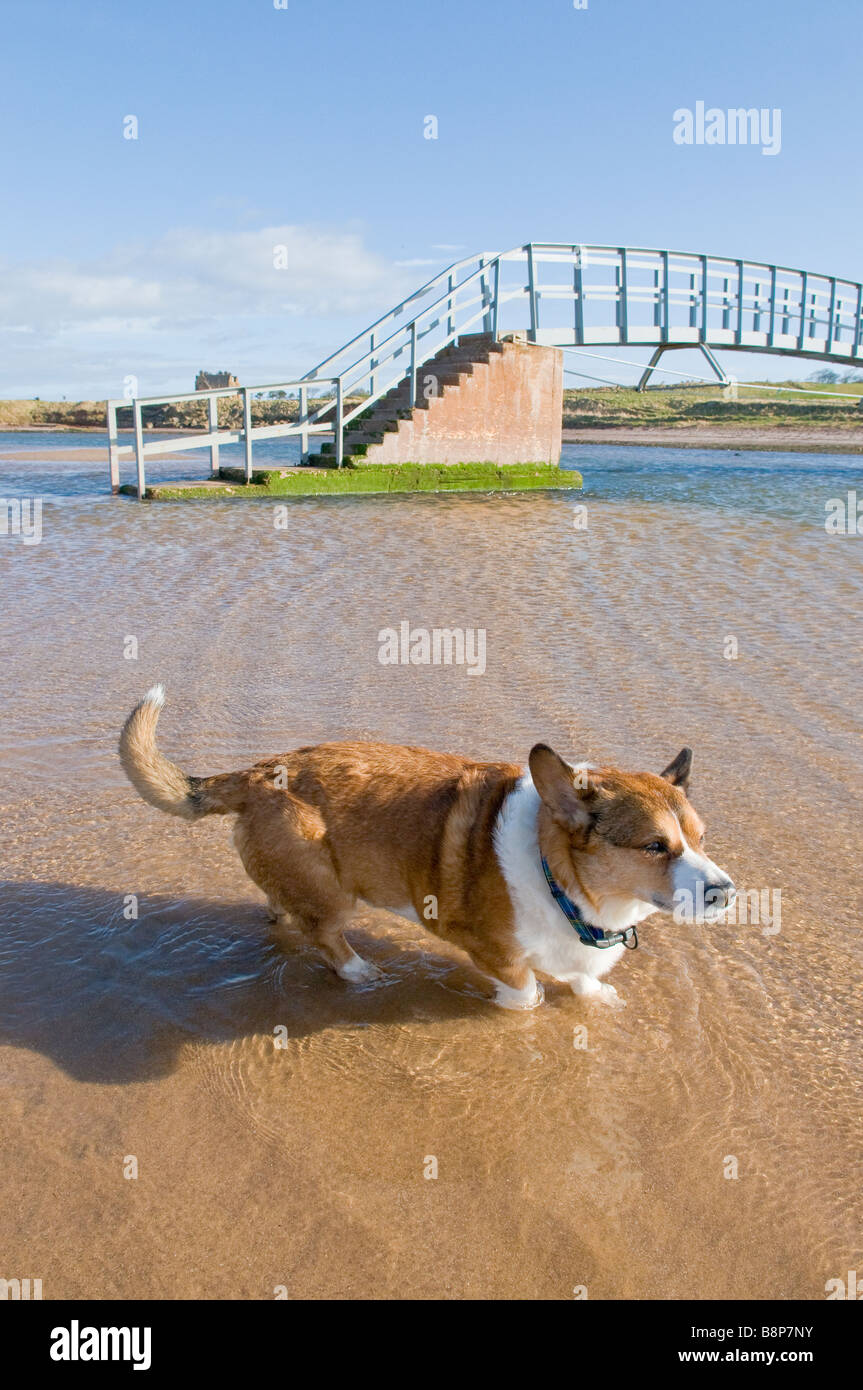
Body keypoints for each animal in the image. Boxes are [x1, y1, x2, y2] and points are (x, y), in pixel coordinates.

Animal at [116, 692, 733, 1011]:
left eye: (701, 838)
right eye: (655, 846)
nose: (727, 893)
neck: (559, 879)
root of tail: (260, 771)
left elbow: (580, 979)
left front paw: (599, 995)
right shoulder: (497, 956)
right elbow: (529, 991)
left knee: (280, 907)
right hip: (333, 893)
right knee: (326, 936)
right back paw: (361, 972)